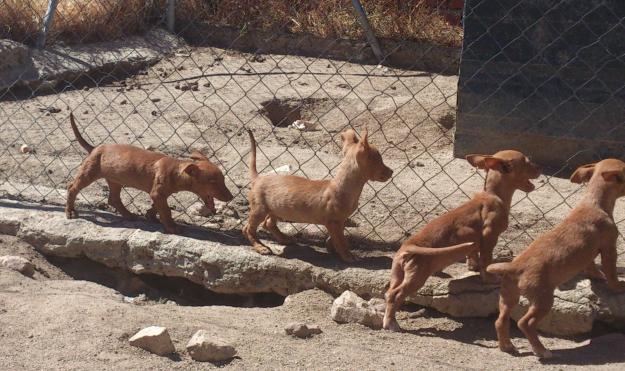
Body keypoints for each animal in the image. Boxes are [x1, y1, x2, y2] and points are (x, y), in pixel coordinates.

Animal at [65, 113, 234, 234]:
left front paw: (150, 215)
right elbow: (166, 210)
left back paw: (128, 215)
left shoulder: (159, 194)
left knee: (113, 199)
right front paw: (172, 227)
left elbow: (159, 207)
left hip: (115, 180)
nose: (231, 197)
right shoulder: (157, 193)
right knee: (72, 187)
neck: (175, 170)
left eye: (223, 180)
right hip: (90, 172)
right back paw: (70, 211)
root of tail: (95, 148)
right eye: (213, 182)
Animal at [243, 129, 392, 264]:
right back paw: (260, 247)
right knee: (248, 229)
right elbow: (341, 240)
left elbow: (336, 237)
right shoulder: (334, 222)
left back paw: (285, 239)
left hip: (276, 208)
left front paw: (331, 248)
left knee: (268, 223)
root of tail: (258, 177)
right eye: (379, 160)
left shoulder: (339, 221)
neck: (345, 186)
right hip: (259, 210)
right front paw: (348, 256)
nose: (391, 172)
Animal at [382, 150, 540, 332]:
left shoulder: (474, 239)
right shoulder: (489, 235)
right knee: (395, 295)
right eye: (527, 162)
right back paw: (391, 322)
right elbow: (486, 259)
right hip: (416, 277)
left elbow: (473, 253)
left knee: (389, 292)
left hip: (397, 274)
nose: (540, 168)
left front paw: (473, 267)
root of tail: (406, 247)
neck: (493, 194)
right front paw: (488, 277)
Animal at [488, 158, 624, 358]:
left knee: (500, 320)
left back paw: (507, 346)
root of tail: (514, 267)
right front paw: (619, 286)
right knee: (524, 323)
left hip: (508, 296)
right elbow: (611, 273)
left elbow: (591, 266)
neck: (594, 201)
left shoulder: (589, 252)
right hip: (543, 299)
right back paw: (541, 350)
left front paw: (597, 275)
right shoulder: (609, 248)